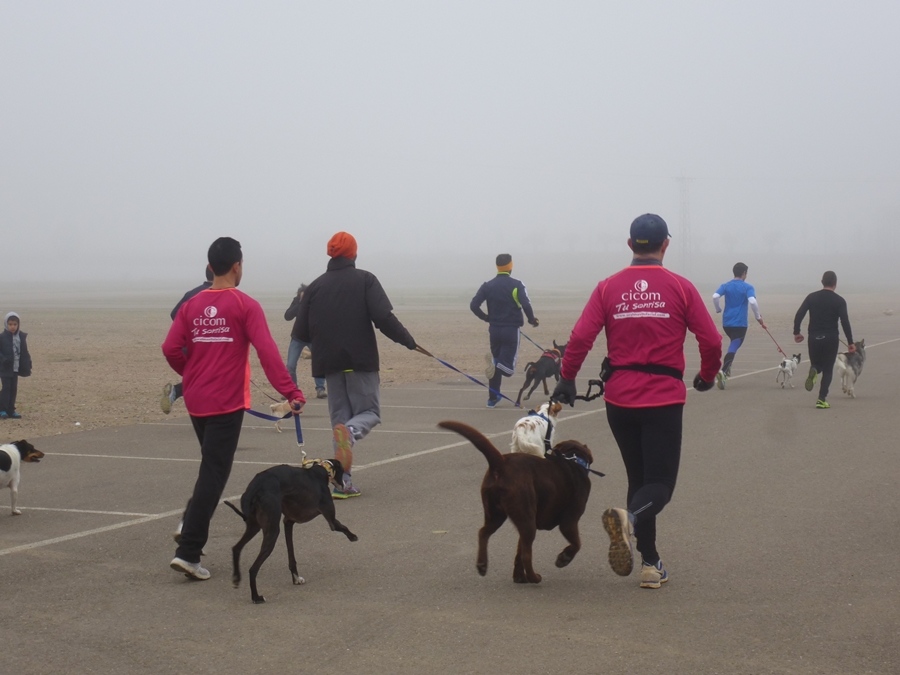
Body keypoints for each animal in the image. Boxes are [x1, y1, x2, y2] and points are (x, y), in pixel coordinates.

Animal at [225, 462, 358, 604]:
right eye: (343, 471)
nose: (345, 486)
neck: (321, 470)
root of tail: (254, 487)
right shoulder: (331, 520)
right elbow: (341, 526)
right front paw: (352, 536)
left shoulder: (288, 522)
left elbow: (291, 556)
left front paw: (296, 578)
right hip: (272, 531)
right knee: (253, 569)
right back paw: (256, 597)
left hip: (254, 526)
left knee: (236, 548)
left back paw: (236, 578)